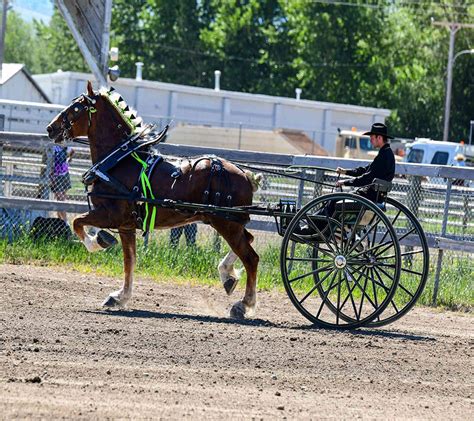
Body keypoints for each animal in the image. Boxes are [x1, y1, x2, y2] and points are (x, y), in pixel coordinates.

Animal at [46, 82, 262, 318]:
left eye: (76, 108)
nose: (50, 128)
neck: (120, 162)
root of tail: (246, 175)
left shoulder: (110, 214)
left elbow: (78, 223)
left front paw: (98, 242)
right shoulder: (126, 225)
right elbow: (130, 261)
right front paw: (120, 297)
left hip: (226, 223)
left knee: (251, 258)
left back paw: (244, 304)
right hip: (230, 222)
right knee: (249, 241)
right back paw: (227, 275)